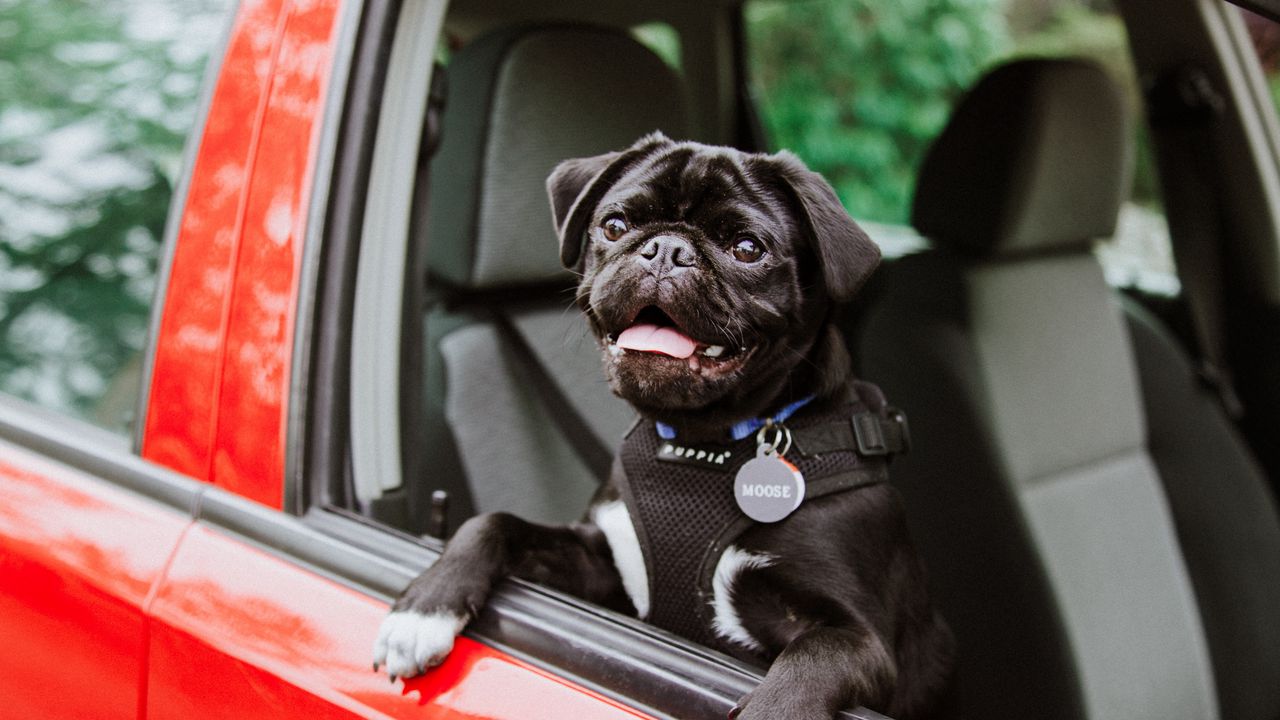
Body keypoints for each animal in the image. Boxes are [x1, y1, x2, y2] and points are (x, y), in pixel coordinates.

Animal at [371, 131, 952, 712]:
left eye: (748, 248)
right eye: (615, 226)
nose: (667, 249)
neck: (703, 442)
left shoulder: (860, 637)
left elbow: (811, 659)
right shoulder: (602, 566)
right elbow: (493, 523)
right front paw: (425, 607)